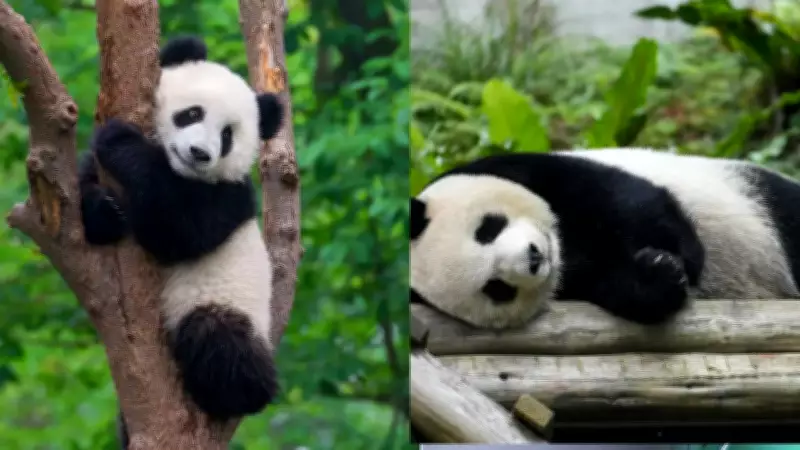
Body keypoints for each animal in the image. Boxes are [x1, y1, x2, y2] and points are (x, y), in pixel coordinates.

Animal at [78, 35, 284, 440]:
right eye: (192, 114)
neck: (178, 170)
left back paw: (235, 392)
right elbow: (86, 192)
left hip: (231, 306)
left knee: (219, 338)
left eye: (227, 136)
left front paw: (120, 140)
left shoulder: (228, 197)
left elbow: (178, 229)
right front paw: (105, 212)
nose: (200, 153)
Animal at [410, 148, 800, 329]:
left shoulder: (526, 171)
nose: (534, 257)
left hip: (757, 202)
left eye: (488, 228)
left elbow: (625, 199)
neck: (566, 247)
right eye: (496, 288)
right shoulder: (574, 283)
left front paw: (681, 256)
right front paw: (658, 274)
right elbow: (614, 285)